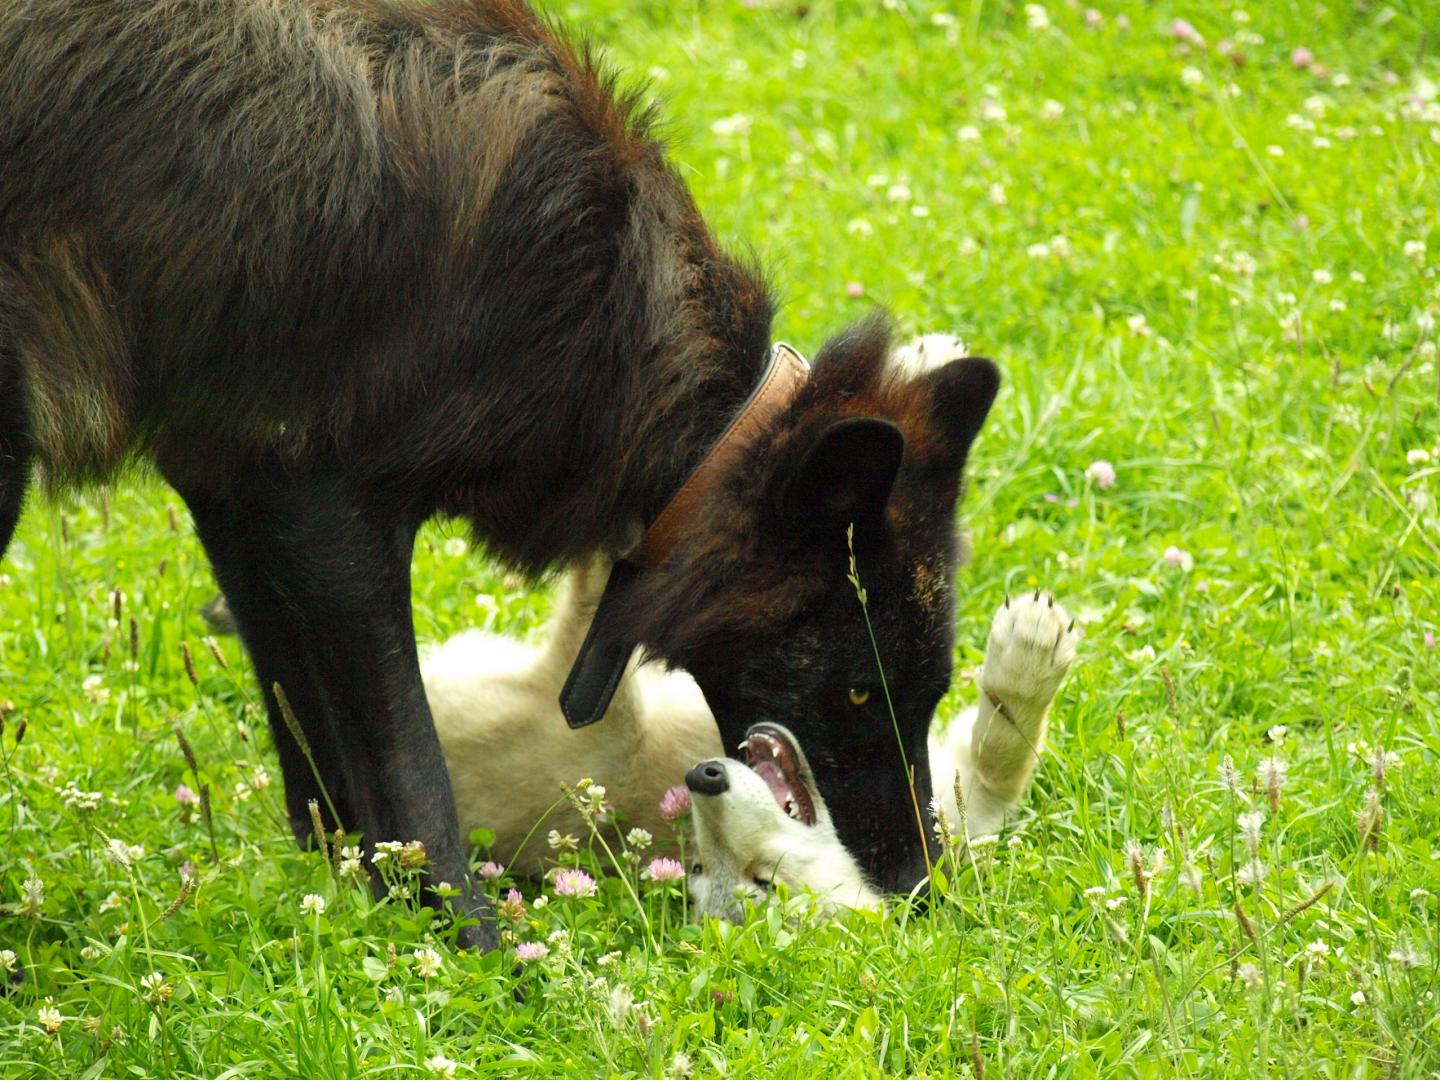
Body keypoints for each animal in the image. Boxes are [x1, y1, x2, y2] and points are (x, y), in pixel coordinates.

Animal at [0, 1, 999, 947]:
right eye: (861, 689)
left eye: (927, 692)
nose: (921, 886)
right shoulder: (328, 520)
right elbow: (413, 773)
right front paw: (472, 943)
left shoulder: (233, 492)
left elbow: (315, 757)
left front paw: (357, 894)